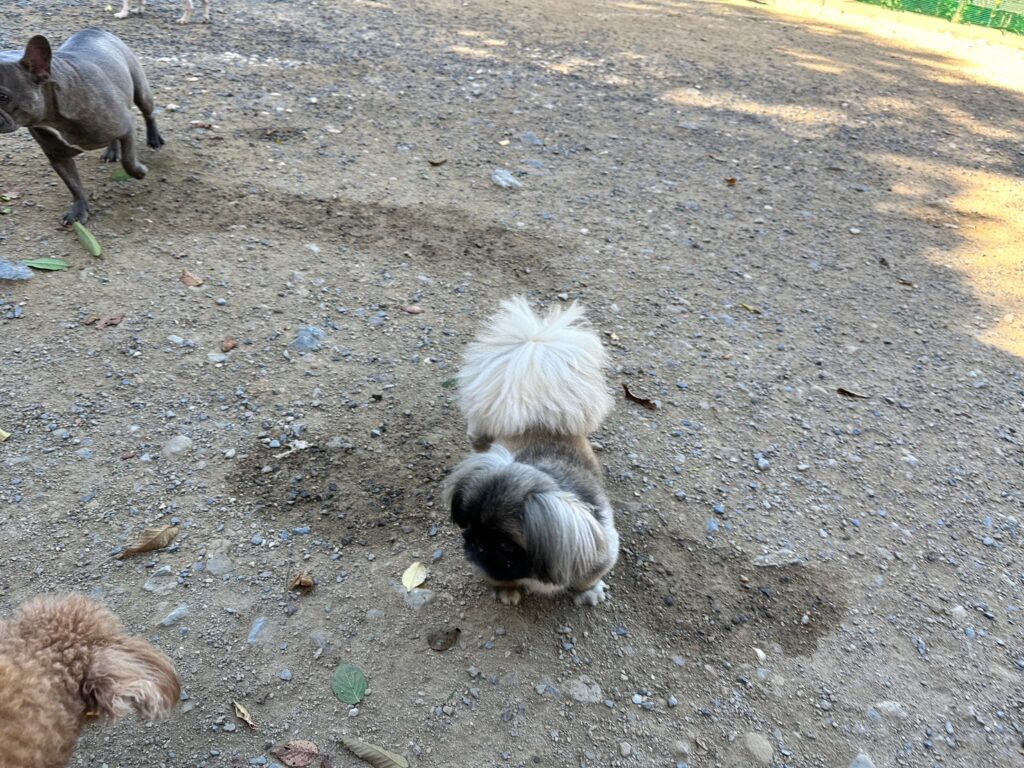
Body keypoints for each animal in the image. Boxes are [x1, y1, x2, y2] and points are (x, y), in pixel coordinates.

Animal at [0, 30, 164, 225]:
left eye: (2, 97)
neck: (52, 118)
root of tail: (96, 30)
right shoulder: (58, 157)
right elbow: (74, 185)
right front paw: (79, 210)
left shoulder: (127, 124)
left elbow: (128, 160)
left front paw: (139, 172)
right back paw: (112, 151)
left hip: (141, 90)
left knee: (148, 113)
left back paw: (154, 139)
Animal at [444, 297, 620, 606]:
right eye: (470, 524)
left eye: (505, 544)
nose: (475, 542)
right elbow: (499, 577)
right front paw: (507, 589)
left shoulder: (603, 552)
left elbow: (587, 578)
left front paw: (588, 591)